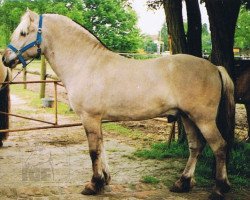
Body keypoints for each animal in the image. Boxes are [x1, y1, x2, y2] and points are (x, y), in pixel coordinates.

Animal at [2, 10, 235, 198]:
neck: (86, 63)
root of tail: (215, 67)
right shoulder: (97, 120)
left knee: (219, 146)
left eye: (23, 33)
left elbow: (93, 151)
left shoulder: (90, 118)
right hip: (187, 117)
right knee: (196, 146)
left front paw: (93, 185)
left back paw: (220, 188)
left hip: (203, 119)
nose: (6, 59)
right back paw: (182, 183)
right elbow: (101, 147)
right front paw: (104, 180)